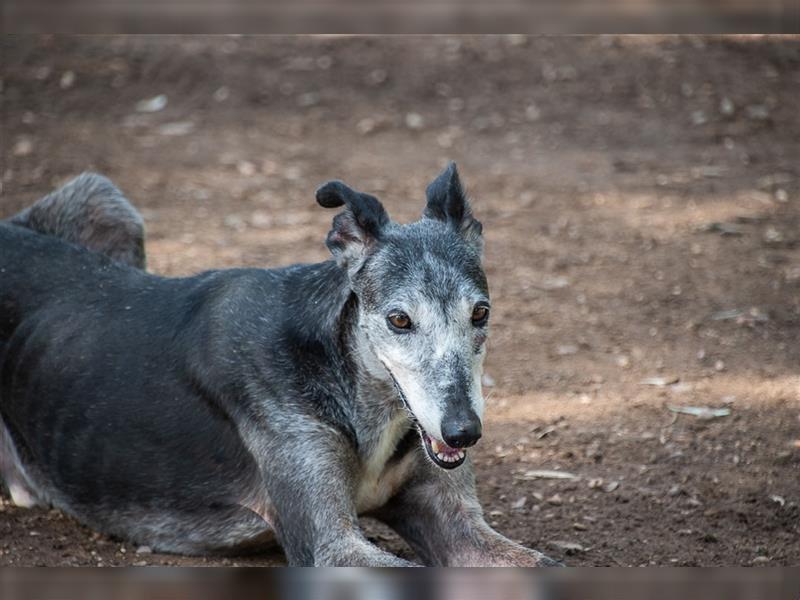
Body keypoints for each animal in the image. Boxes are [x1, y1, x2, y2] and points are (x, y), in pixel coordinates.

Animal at [0, 165, 560, 568]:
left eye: (480, 313)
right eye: (399, 320)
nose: (464, 431)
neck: (346, 375)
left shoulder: (455, 521)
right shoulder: (333, 545)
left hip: (104, 201)